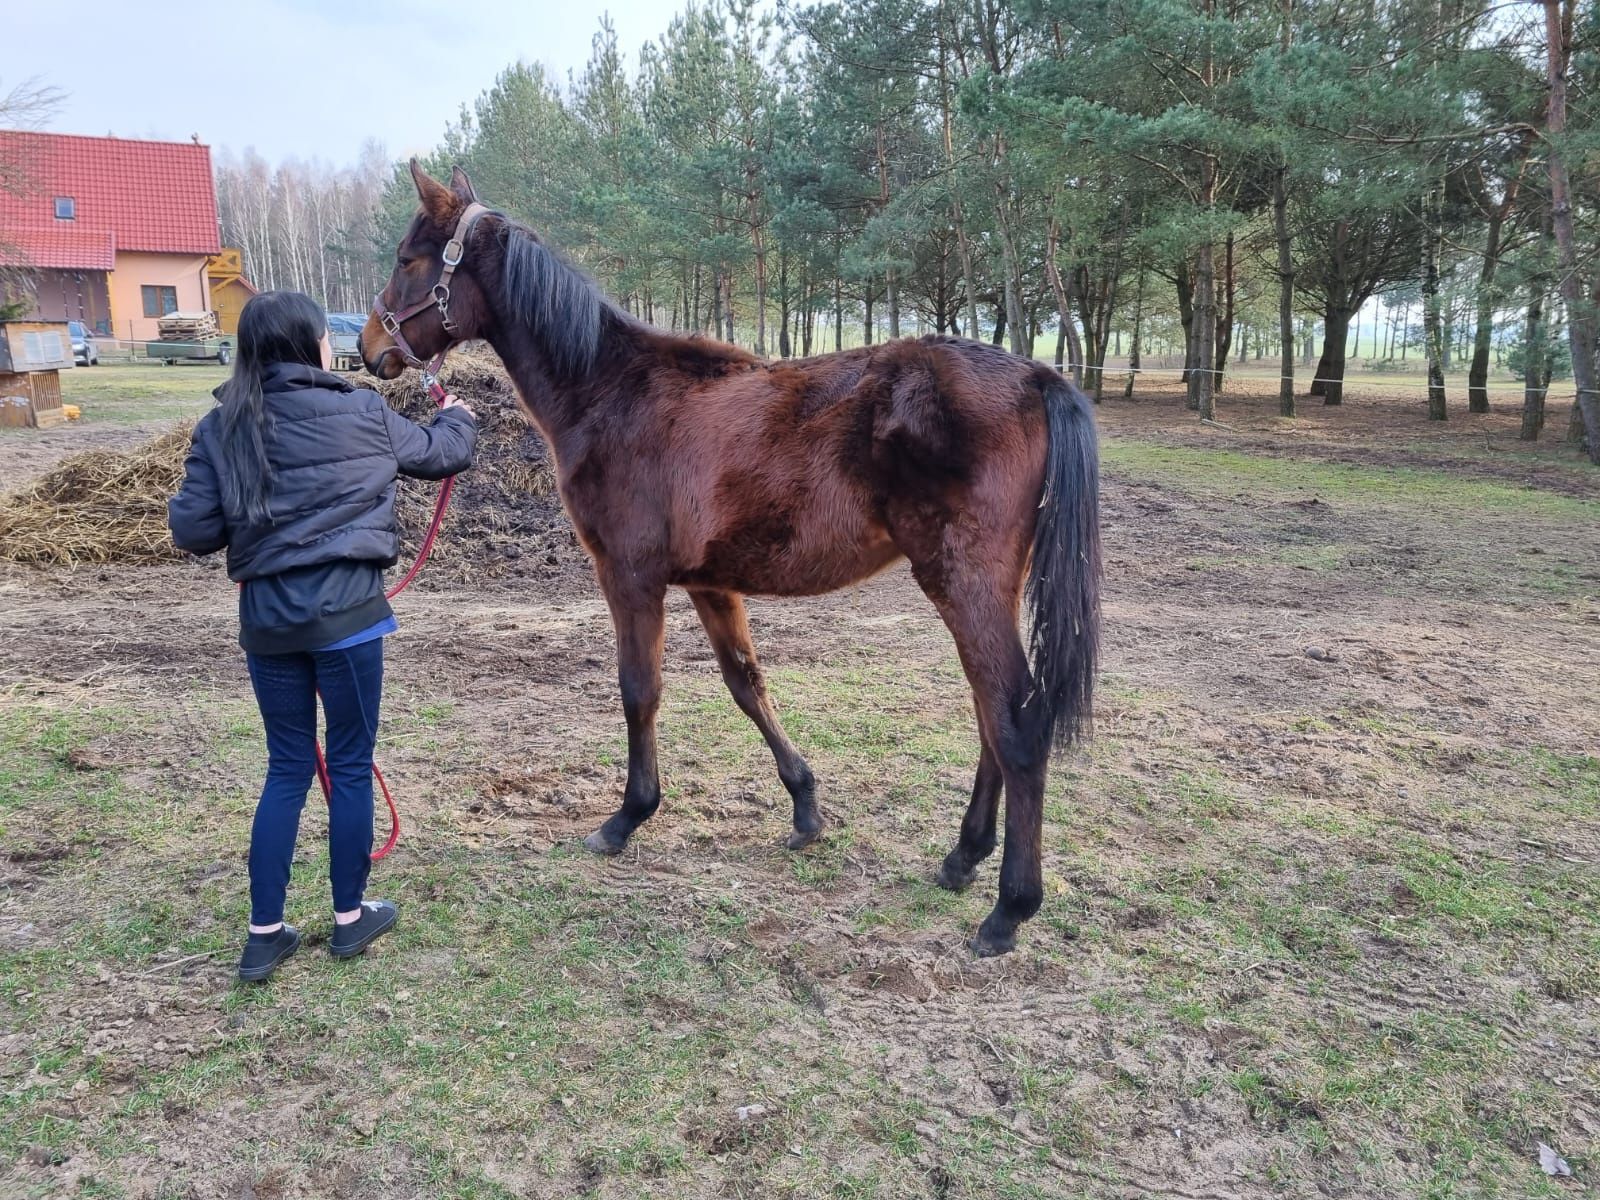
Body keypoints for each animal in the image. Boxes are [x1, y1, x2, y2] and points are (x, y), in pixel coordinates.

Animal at [364, 162, 1107, 960]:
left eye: (408, 260)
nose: (371, 346)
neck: (609, 392)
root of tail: (1036, 378)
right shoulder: (711, 585)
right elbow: (747, 684)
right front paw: (806, 808)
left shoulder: (630, 578)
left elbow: (640, 691)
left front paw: (627, 817)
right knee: (989, 712)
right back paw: (963, 857)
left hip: (962, 585)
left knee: (1014, 722)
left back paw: (1009, 907)